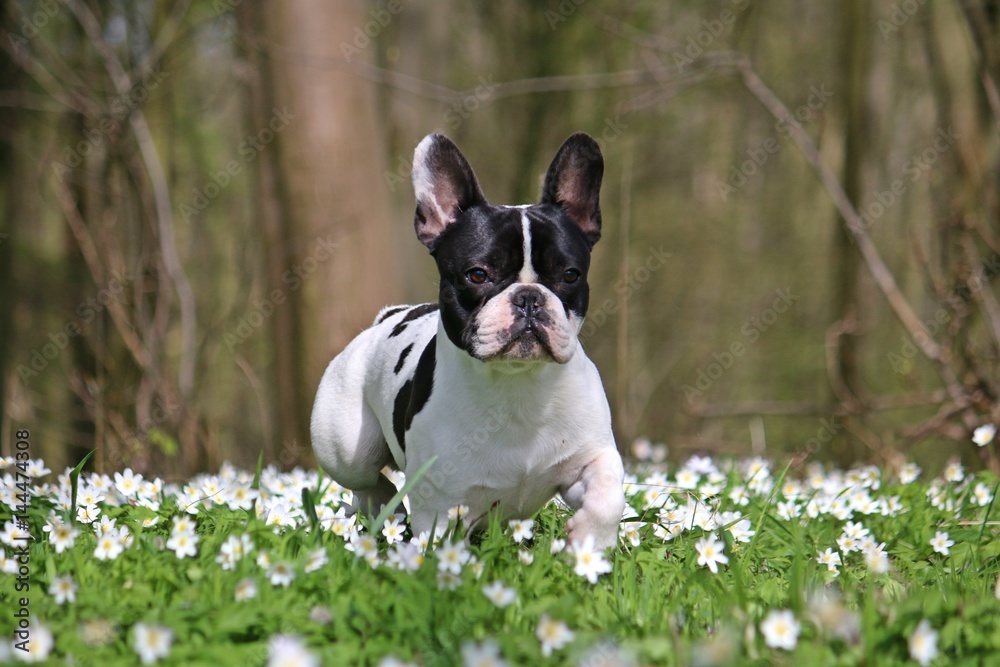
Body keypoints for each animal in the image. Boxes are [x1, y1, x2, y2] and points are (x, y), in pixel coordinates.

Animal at [310, 133, 624, 552]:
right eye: (477, 274)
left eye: (570, 274)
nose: (528, 298)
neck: (517, 383)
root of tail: (385, 317)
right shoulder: (439, 504)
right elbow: (438, 549)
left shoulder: (592, 455)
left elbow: (608, 495)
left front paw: (589, 541)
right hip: (346, 446)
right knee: (365, 481)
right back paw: (385, 506)